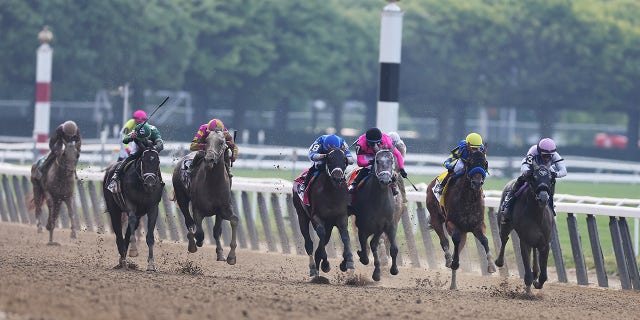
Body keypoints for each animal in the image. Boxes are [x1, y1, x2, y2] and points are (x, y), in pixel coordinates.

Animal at [171, 130, 239, 264]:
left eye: (221, 142)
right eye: (206, 141)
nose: (209, 159)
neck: (213, 183)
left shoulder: (223, 210)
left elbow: (233, 221)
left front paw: (231, 256)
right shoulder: (198, 210)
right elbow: (199, 232)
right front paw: (197, 242)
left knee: (216, 230)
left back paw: (220, 253)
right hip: (182, 198)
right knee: (189, 222)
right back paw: (192, 244)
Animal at [348, 149, 398, 282]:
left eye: (391, 160)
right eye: (377, 161)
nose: (386, 180)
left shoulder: (387, 225)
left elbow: (393, 248)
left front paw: (394, 270)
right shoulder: (362, 226)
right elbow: (365, 251)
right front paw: (362, 256)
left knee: (373, 244)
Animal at [428, 150, 498, 290]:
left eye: (485, 163)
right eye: (470, 162)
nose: (477, 183)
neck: (468, 199)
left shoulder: (477, 225)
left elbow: (485, 240)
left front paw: (491, 265)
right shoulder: (451, 223)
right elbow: (455, 239)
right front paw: (454, 262)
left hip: (464, 231)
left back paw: (453, 284)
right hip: (435, 218)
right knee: (444, 241)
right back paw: (449, 260)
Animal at [496, 160, 556, 292]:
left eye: (550, 178)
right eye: (534, 178)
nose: (543, 198)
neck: (536, 215)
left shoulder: (545, 243)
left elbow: (544, 276)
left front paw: (537, 282)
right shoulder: (524, 242)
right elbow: (527, 273)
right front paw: (528, 290)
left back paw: (536, 273)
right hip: (505, 224)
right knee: (504, 239)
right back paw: (499, 262)